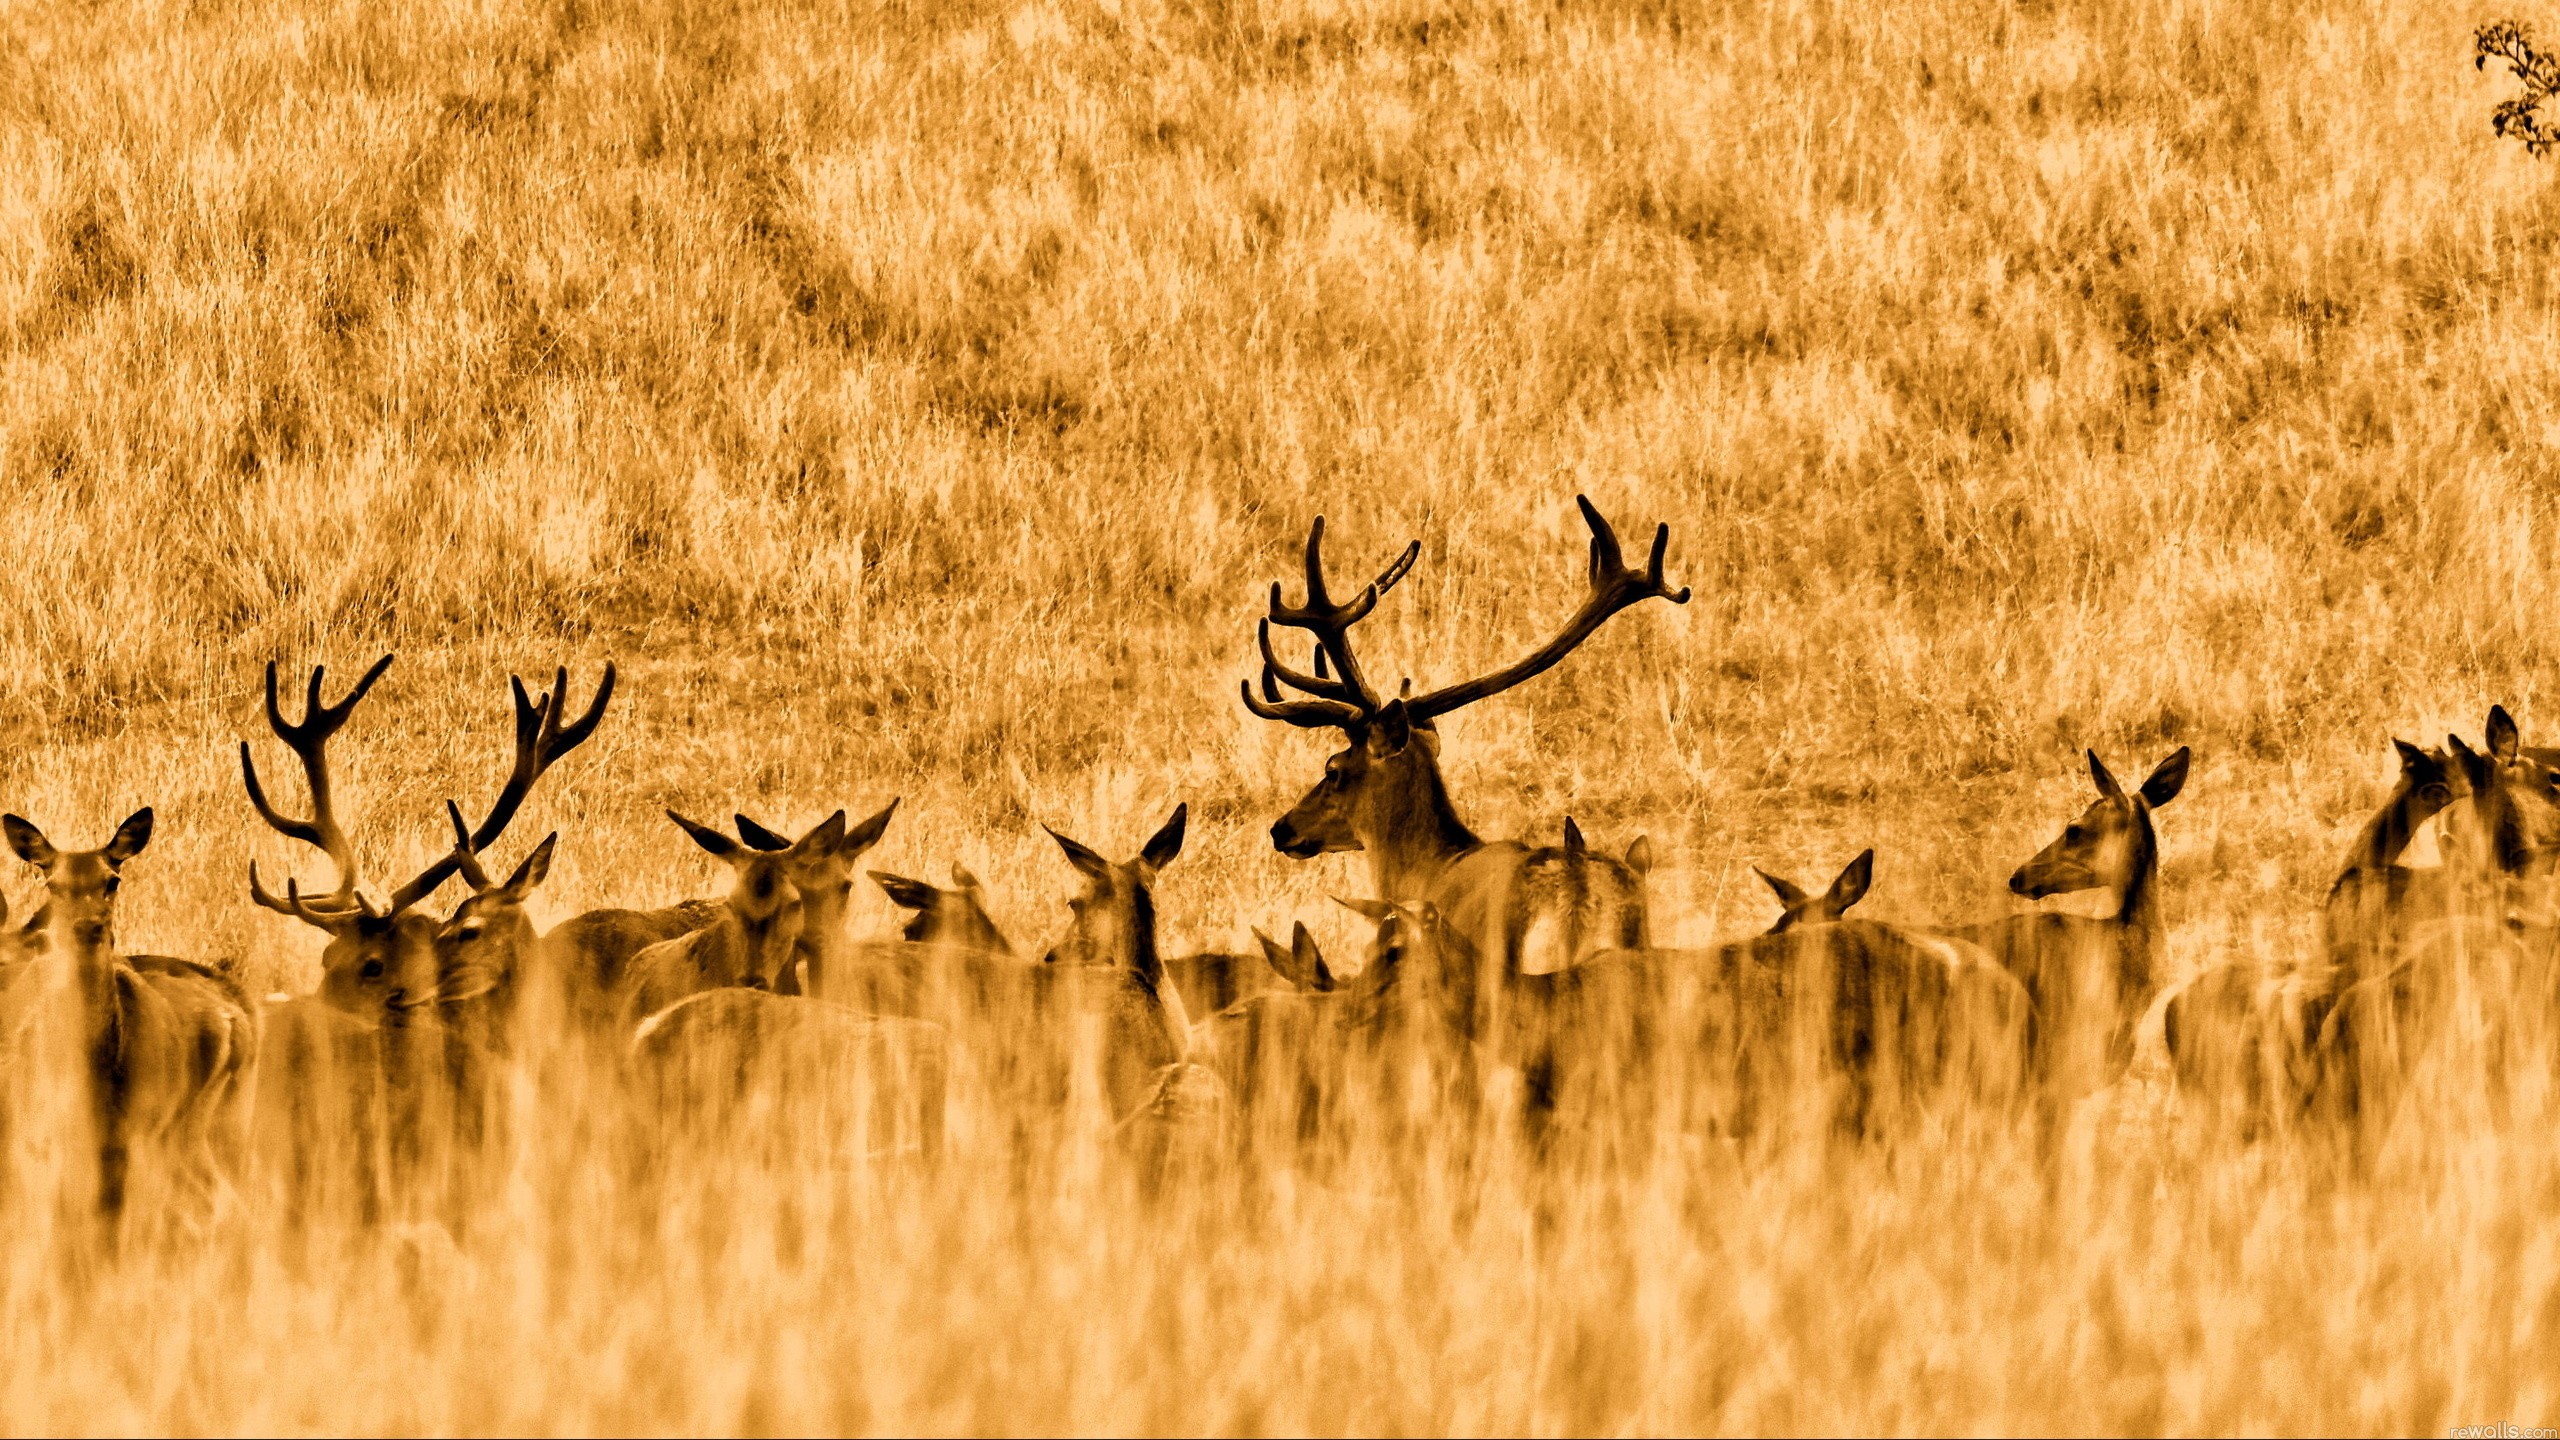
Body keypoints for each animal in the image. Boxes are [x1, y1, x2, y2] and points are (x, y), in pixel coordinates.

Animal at [0, 809, 257, 1229]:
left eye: (112, 879)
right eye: (53, 883)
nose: (88, 926)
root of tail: (235, 1016)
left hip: (178, 1130)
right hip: (224, 1121)